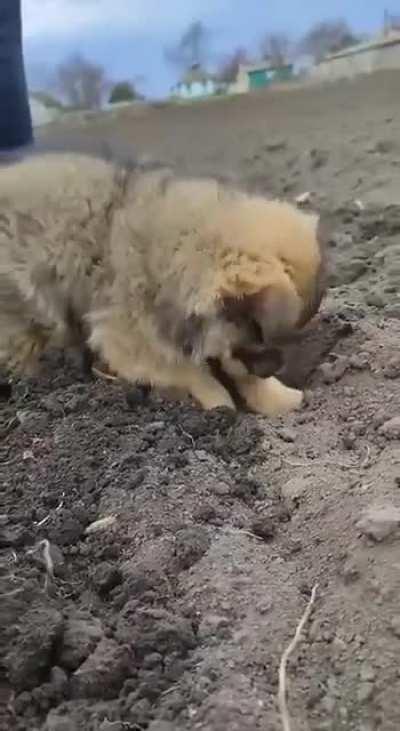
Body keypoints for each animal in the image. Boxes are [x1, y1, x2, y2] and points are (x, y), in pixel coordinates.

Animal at [0, 153, 324, 418]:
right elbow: (191, 372)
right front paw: (220, 408)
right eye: (258, 335)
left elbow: (240, 372)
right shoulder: (130, 342)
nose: (274, 367)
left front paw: (280, 398)